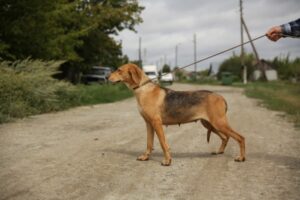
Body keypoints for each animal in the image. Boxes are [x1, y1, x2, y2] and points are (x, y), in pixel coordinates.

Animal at [109, 63, 245, 166]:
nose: (106, 77)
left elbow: (163, 144)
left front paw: (167, 161)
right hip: (209, 124)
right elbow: (149, 143)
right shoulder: (149, 124)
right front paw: (145, 157)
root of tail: (221, 97)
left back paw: (241, 157)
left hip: (218, 123)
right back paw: (219, 151)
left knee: (240, 137)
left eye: (119, 70)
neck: (143, 89)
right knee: (225, 137)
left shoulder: (156, 123)